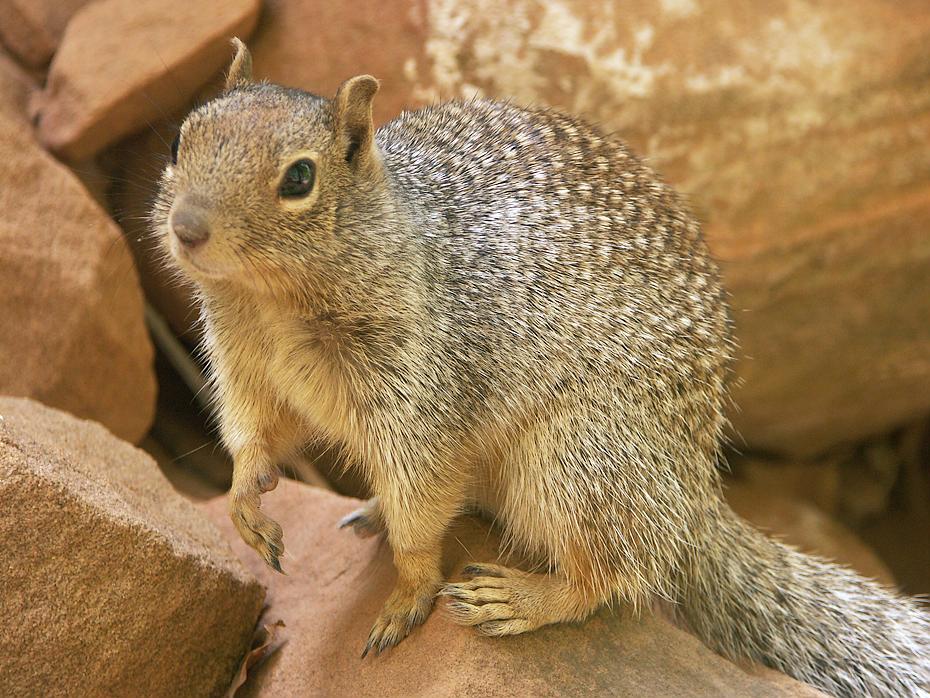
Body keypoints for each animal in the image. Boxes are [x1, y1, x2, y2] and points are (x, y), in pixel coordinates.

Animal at [152, 39, 930, 696]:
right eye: (180, 138)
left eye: (299, 178)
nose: (186, 228)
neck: (271, 303)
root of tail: (695, 499)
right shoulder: (245, 370)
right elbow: (256, 439)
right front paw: (246, 504)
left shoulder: (420, 397)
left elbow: (421, 510)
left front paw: (407, 596)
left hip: (577, 458)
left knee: (612, 574)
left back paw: (521, 596)